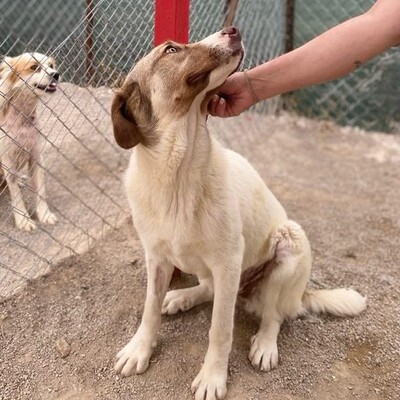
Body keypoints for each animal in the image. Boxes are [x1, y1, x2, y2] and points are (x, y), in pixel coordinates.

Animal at [0, 52, 59, 231]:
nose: (56, 74)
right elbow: (16, 197)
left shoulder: (36, 157)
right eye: (34, 67)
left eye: (51, 66)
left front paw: (44, 215)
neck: (22, 120)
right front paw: (23, 220)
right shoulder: (7, 162)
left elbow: (41, 191)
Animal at [109, 28, 366, 400]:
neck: (178, 173)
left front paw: (212, 377)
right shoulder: (157, 258)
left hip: (288, 245)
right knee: (210, 290)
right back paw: (183, 297)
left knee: (273, 314)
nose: (232, 31)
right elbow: (149, 310)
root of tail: (300, 294)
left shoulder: (228, 261)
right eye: (171, 50)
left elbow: (220, 330)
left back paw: (265, 345)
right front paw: (139, 349)